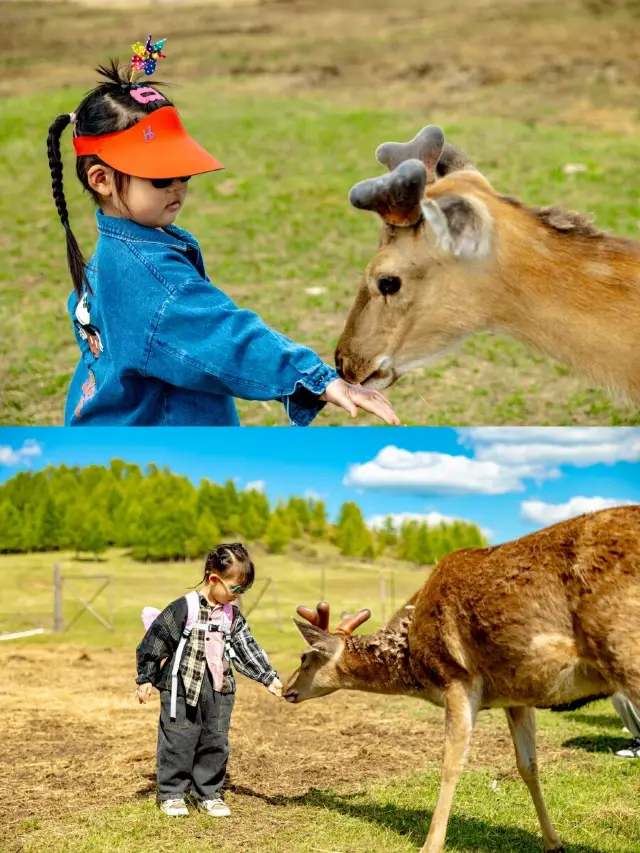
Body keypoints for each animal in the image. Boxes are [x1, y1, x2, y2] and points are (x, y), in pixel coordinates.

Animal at [284, 506, 640, 852]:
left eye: (304, 658)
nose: (287, 690)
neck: (414, 658)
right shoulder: (517, 696)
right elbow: (528, 765)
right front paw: (554, 843)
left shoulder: (457, 677)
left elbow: (450, 763)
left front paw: (430, 845)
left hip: (626, 651)